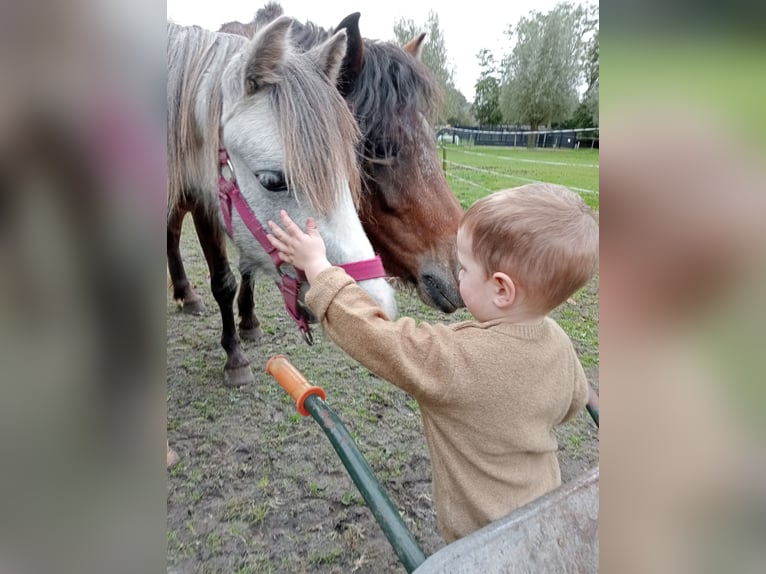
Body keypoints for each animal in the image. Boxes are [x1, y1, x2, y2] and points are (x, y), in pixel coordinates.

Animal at [169, 3, 464, 342]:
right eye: (378, 149)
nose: (458, 267)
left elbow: (248, 268)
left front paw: (249, 320)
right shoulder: (204, 206)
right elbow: (223, 281)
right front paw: (235, 347)